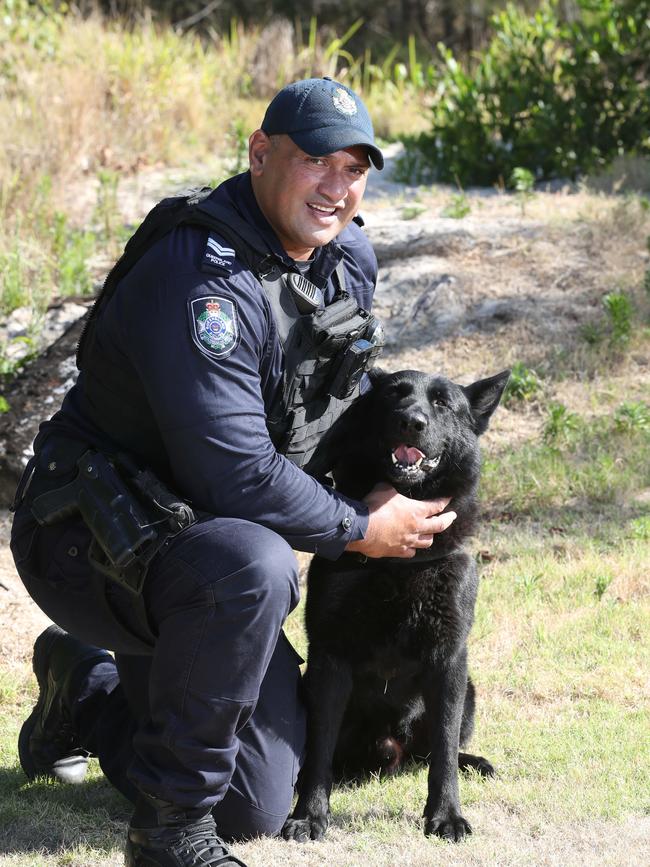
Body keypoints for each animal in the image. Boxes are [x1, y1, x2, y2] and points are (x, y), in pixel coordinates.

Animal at [280, 370, 508, 844]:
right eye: (393, 395)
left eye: (442, 404)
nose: (411, 422)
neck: (397, 563)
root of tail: (390, 752)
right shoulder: (329, 661)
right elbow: (318, 749)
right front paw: (309, 814)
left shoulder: (448, 662)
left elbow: (444, 750)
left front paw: (445, 815)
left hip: (468, 691)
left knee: (436, 751)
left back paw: (473, 762)